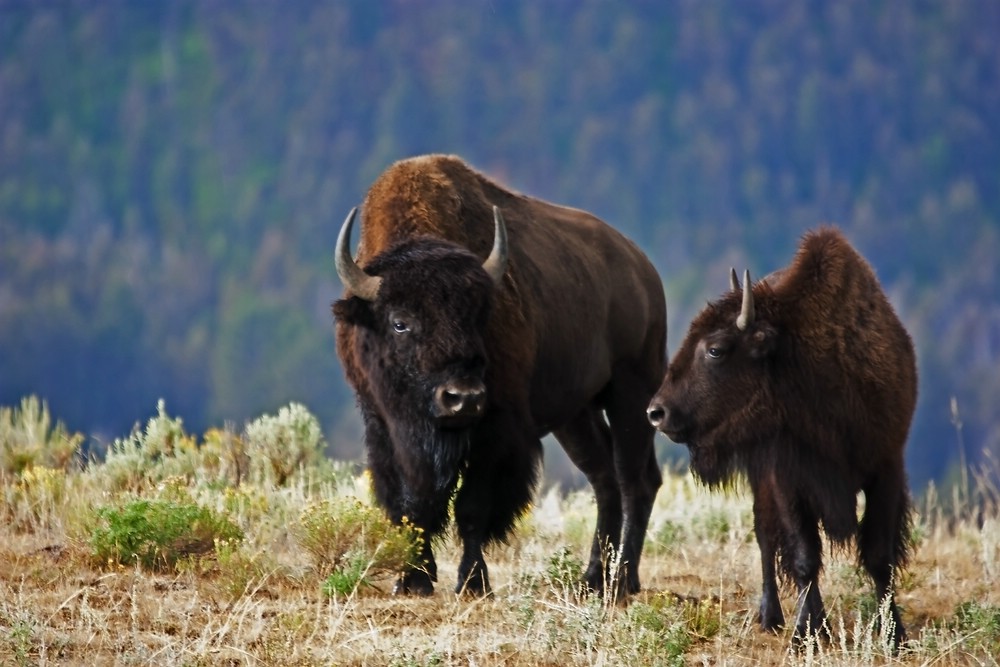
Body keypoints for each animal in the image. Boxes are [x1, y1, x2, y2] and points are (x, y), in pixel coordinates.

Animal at [332, 154, 668, 596]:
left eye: (479, 316)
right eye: (400, 322)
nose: (462, 397)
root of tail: (642, 269)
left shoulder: (495, 431)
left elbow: (472, 508)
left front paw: (473, 582)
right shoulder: (387, 429)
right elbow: (412, 504)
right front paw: (414, 580)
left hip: (632, 391)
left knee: (635, 480)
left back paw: (622, 581)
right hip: (576, 415)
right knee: (605, 477)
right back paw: (592, 578)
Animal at [644, 227, 916, 648]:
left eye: (716, 350)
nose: (657, 412)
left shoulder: (885, 468)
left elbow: (878, 556)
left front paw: (894, 634)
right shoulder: (786, 477)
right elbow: (804, 555)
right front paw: (809, 631)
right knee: (765, 538)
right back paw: (770, 616)